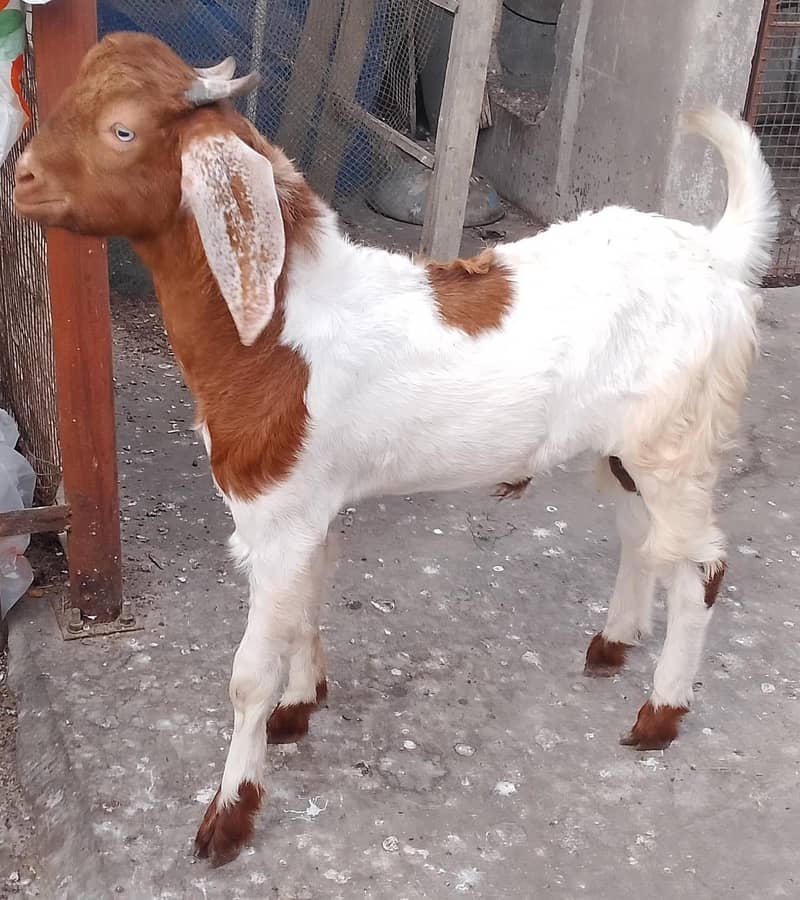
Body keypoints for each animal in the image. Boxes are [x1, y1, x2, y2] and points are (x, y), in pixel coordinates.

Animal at [15, 32, 778, 868]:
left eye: (121, 130)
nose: (20, 179)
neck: (275, 328)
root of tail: (717, 253)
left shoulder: (276, 514)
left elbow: (248, 673)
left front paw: (230, 815)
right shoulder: (308, 508)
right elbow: (308, 600)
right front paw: (300, 706)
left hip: (676, 440)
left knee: (700, 568)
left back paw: (660, 713)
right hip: (621, 447)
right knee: (643, 537)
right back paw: (614, 642)